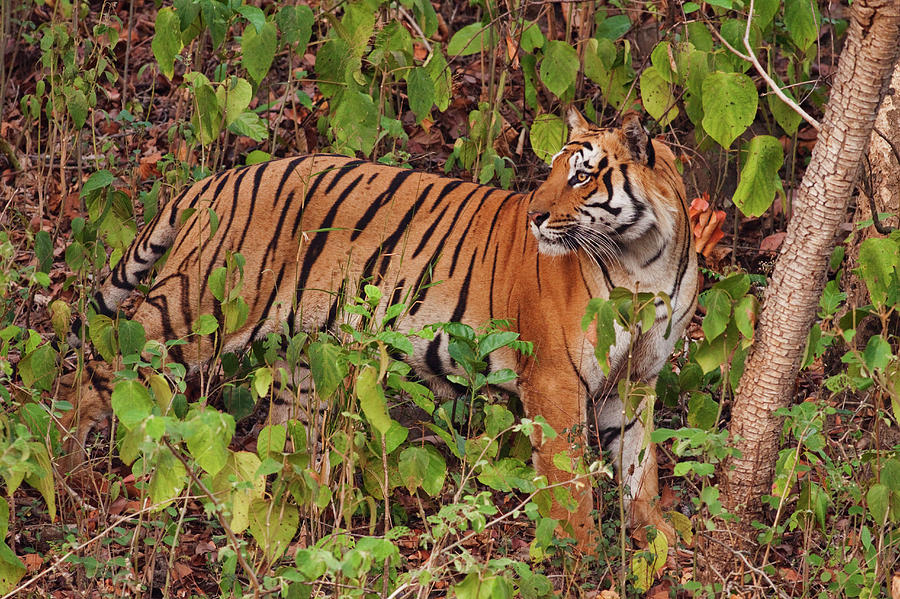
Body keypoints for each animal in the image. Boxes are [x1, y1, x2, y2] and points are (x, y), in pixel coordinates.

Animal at [59, 110, 700, 552]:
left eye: (582, 176)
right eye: (550, 175)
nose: (535, 215)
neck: (642, 259)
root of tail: (217, 179)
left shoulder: (635, 379)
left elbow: (638, 465)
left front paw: (659, 539)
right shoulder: (555, 380)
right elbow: (571, 485)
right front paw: (580, 555)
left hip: (300, 358)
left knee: (284, 442)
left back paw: (293, 512)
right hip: (198, 307)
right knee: (105, 364)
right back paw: (69, 474)